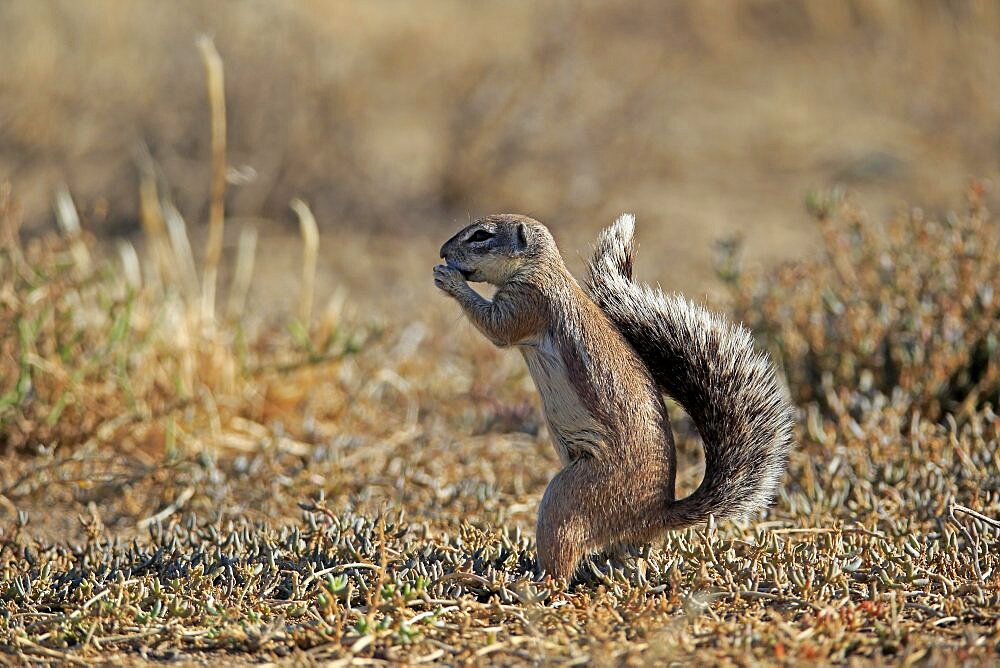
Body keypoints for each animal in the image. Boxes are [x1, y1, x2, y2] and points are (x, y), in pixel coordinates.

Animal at [434, 213, 792, 580]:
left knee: (561, 563)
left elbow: (497, 327)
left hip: (567, 499)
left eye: (481, 236)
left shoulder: (526, 301)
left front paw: (448, 279)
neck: (542, 267)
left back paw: (521, 582)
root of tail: (655, 513)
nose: (443, 251)